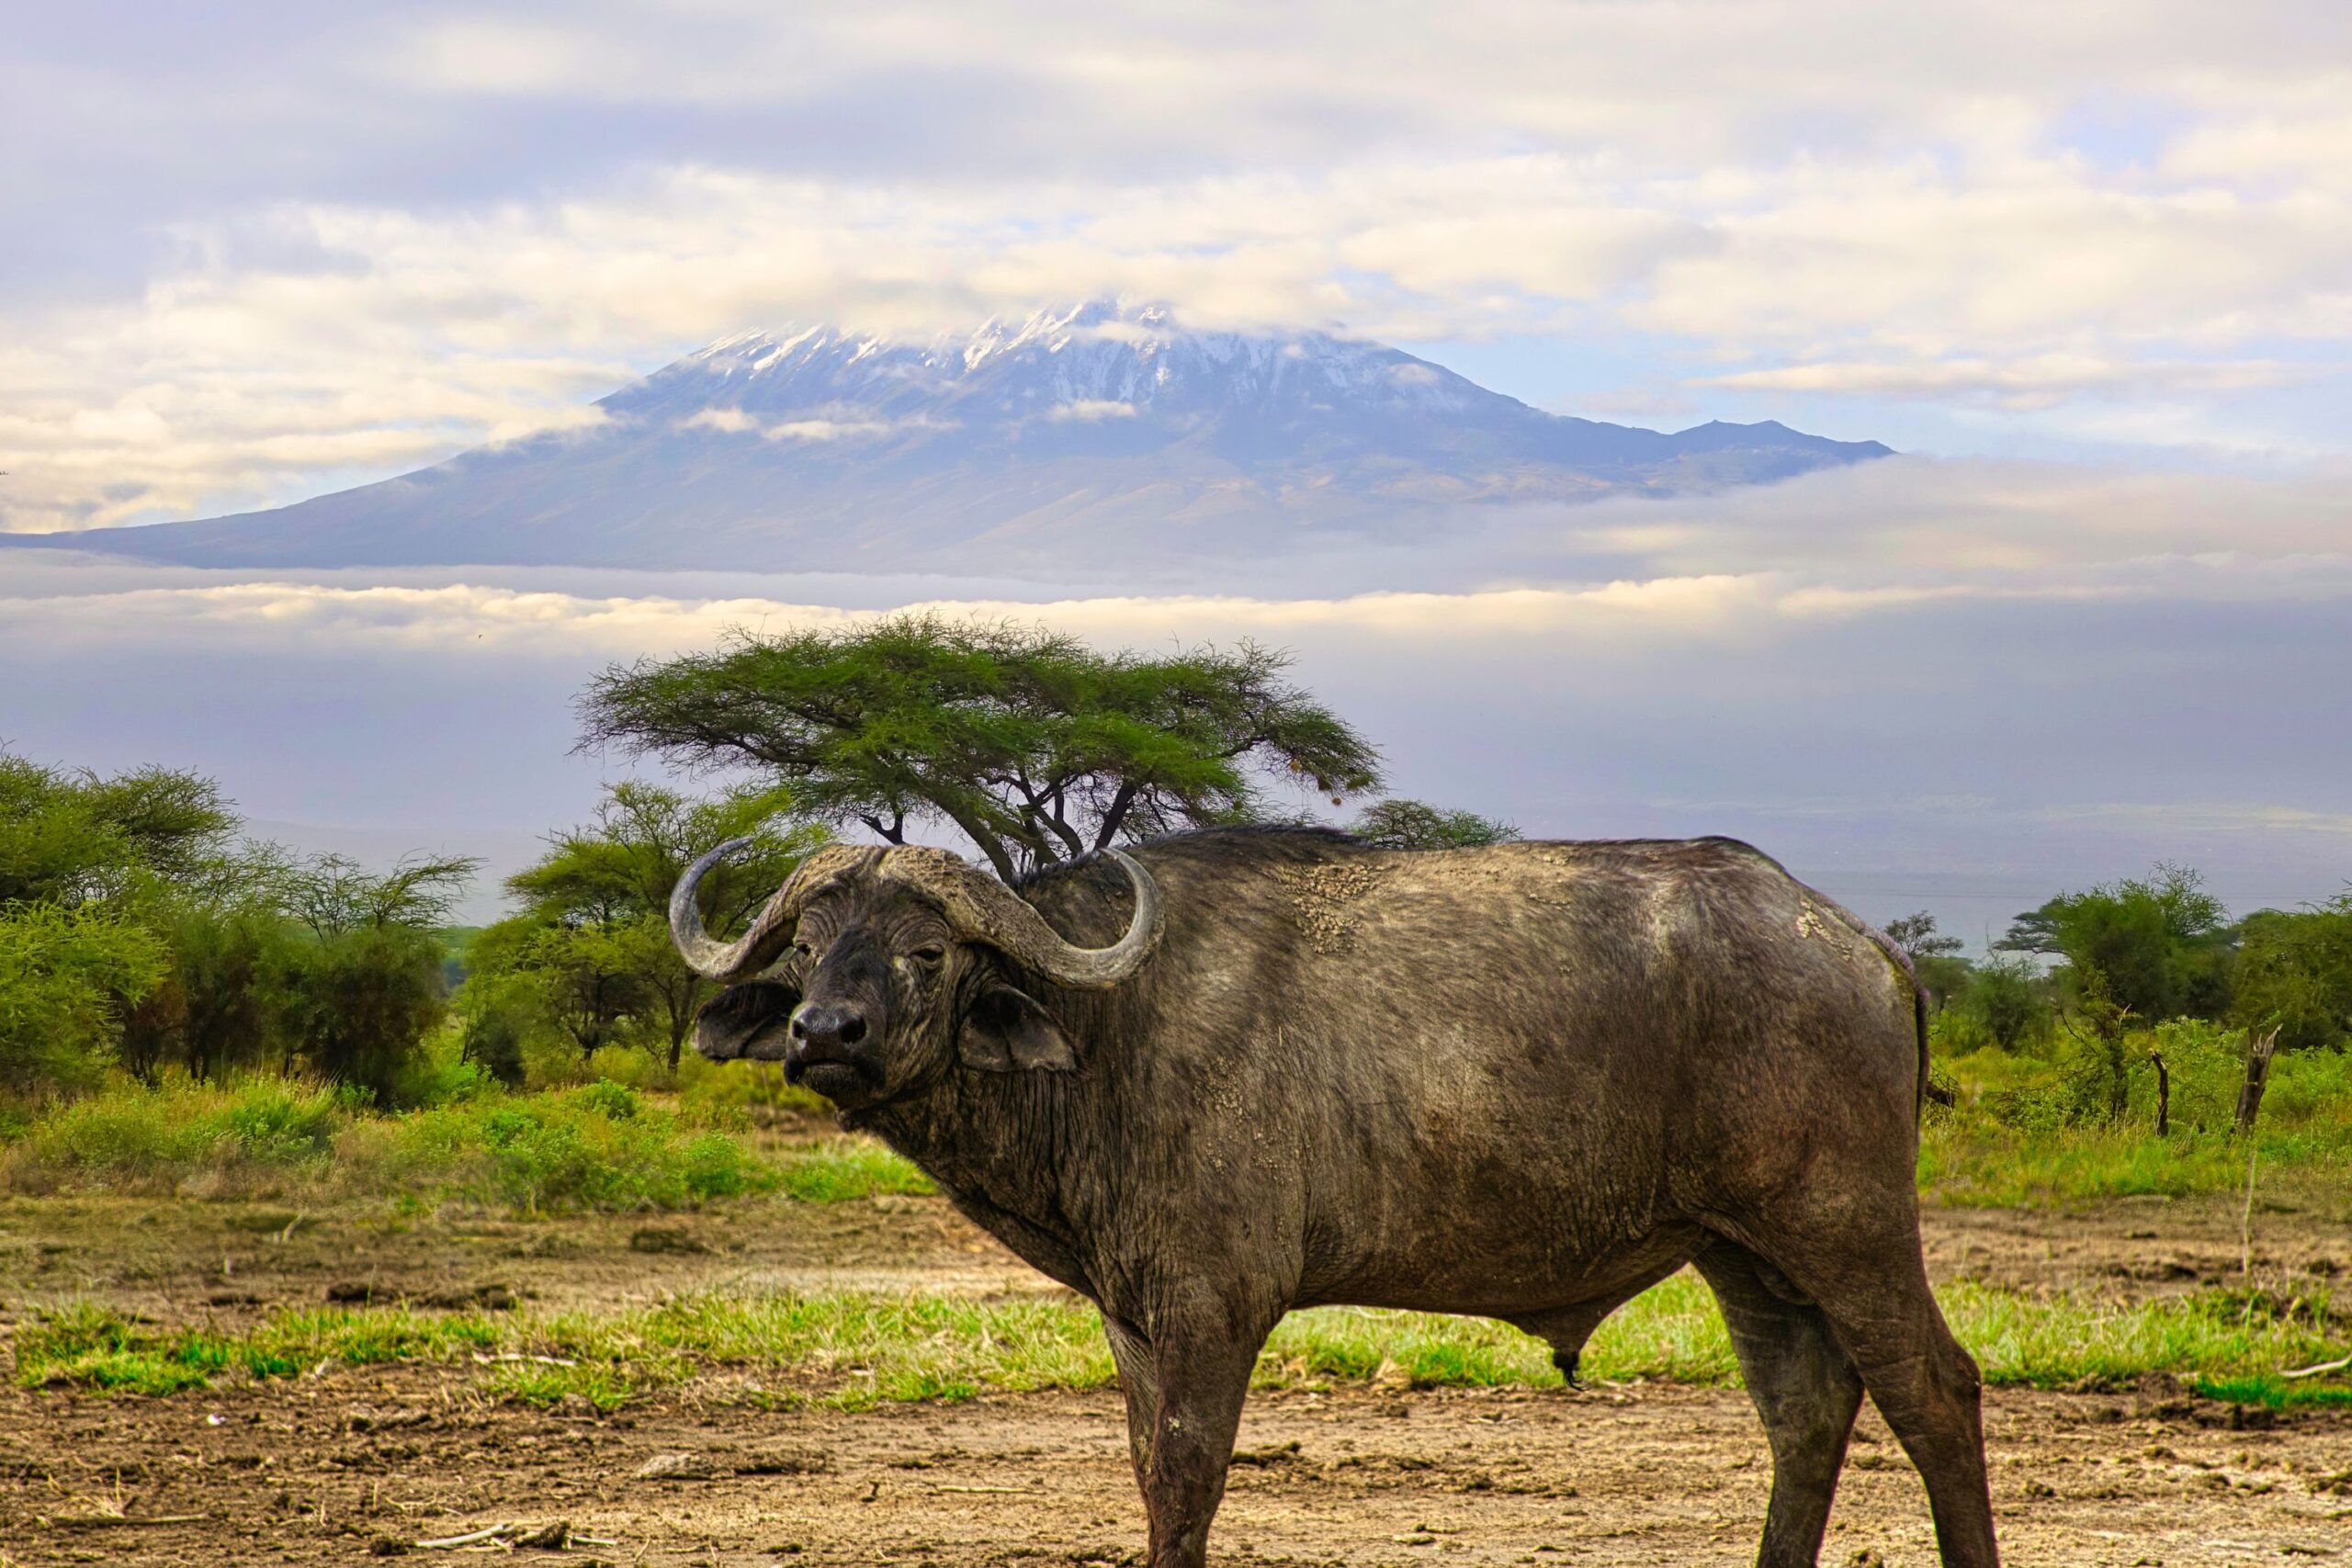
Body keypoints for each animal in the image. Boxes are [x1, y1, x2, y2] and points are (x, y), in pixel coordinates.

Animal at [671, 828, 1997, 1567]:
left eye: (928, 950)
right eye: (807, 947)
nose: (823, 1033)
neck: (1110, 1028)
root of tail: (1861, 946)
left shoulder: (1213, 1309)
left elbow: (1192, 1479)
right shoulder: (1133, 1318)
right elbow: (1150, 1473)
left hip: (1845, 1229)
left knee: (1934, 1393)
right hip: (1745, 1254)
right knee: (1807, 1411)